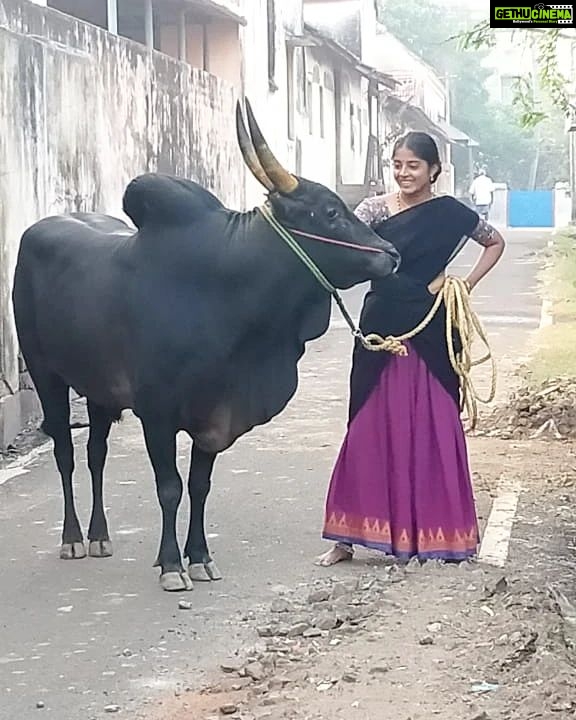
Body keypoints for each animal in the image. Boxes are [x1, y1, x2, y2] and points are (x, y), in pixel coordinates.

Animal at [12, 100, 400, 592]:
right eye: (331, 211)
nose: (391, 253)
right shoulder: (156, 413)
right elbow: (170, 488)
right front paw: (171, 565)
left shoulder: (214, 415)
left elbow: (199, 487)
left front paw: (199, 557)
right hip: (47, 375)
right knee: (65, 451)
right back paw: (73, 538)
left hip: (99, 390)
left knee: (96, 454)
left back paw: (100, 535)